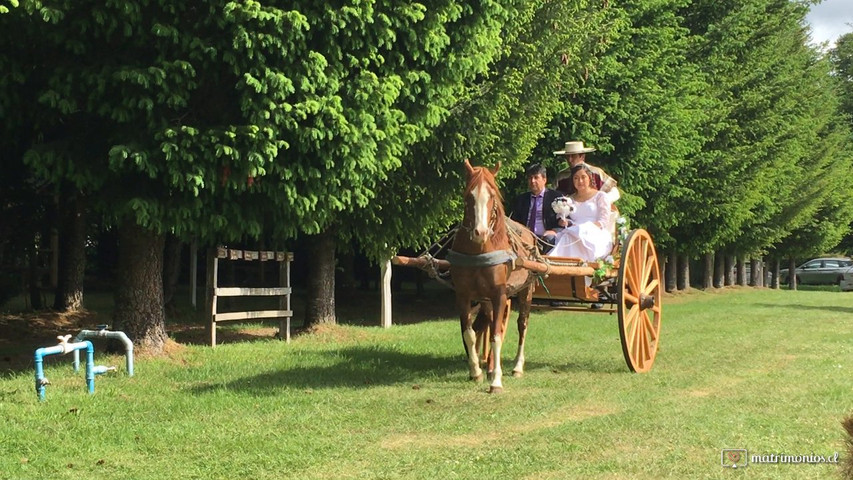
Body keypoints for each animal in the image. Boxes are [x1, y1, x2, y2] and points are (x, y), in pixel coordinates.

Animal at [450, 159, 536, 392]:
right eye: (468, 196)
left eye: (493, 196)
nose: (480, 232)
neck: (480, 251)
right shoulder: (463, 295)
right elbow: (469, 333)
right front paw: (476, 372)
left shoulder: (500, 295)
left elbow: (497, 335)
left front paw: (496, 380)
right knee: (485, 323)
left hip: (526, 292)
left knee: (522, 324)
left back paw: (517, 366)